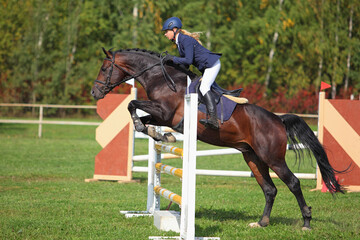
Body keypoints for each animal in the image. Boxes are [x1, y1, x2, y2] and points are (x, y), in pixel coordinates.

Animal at [90, 47, 344, 231]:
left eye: (104, 68)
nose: (94, 92)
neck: (161, 78)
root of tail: (278, 120)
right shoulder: (161, 115)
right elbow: (139, 114)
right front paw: (159, 134)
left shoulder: (166, 112)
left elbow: (132, 104)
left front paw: (152, 130)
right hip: (253, 157)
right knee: (269, 189)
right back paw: (261, 223)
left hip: (273, 158)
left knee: (293, 183)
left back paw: (306, 222)